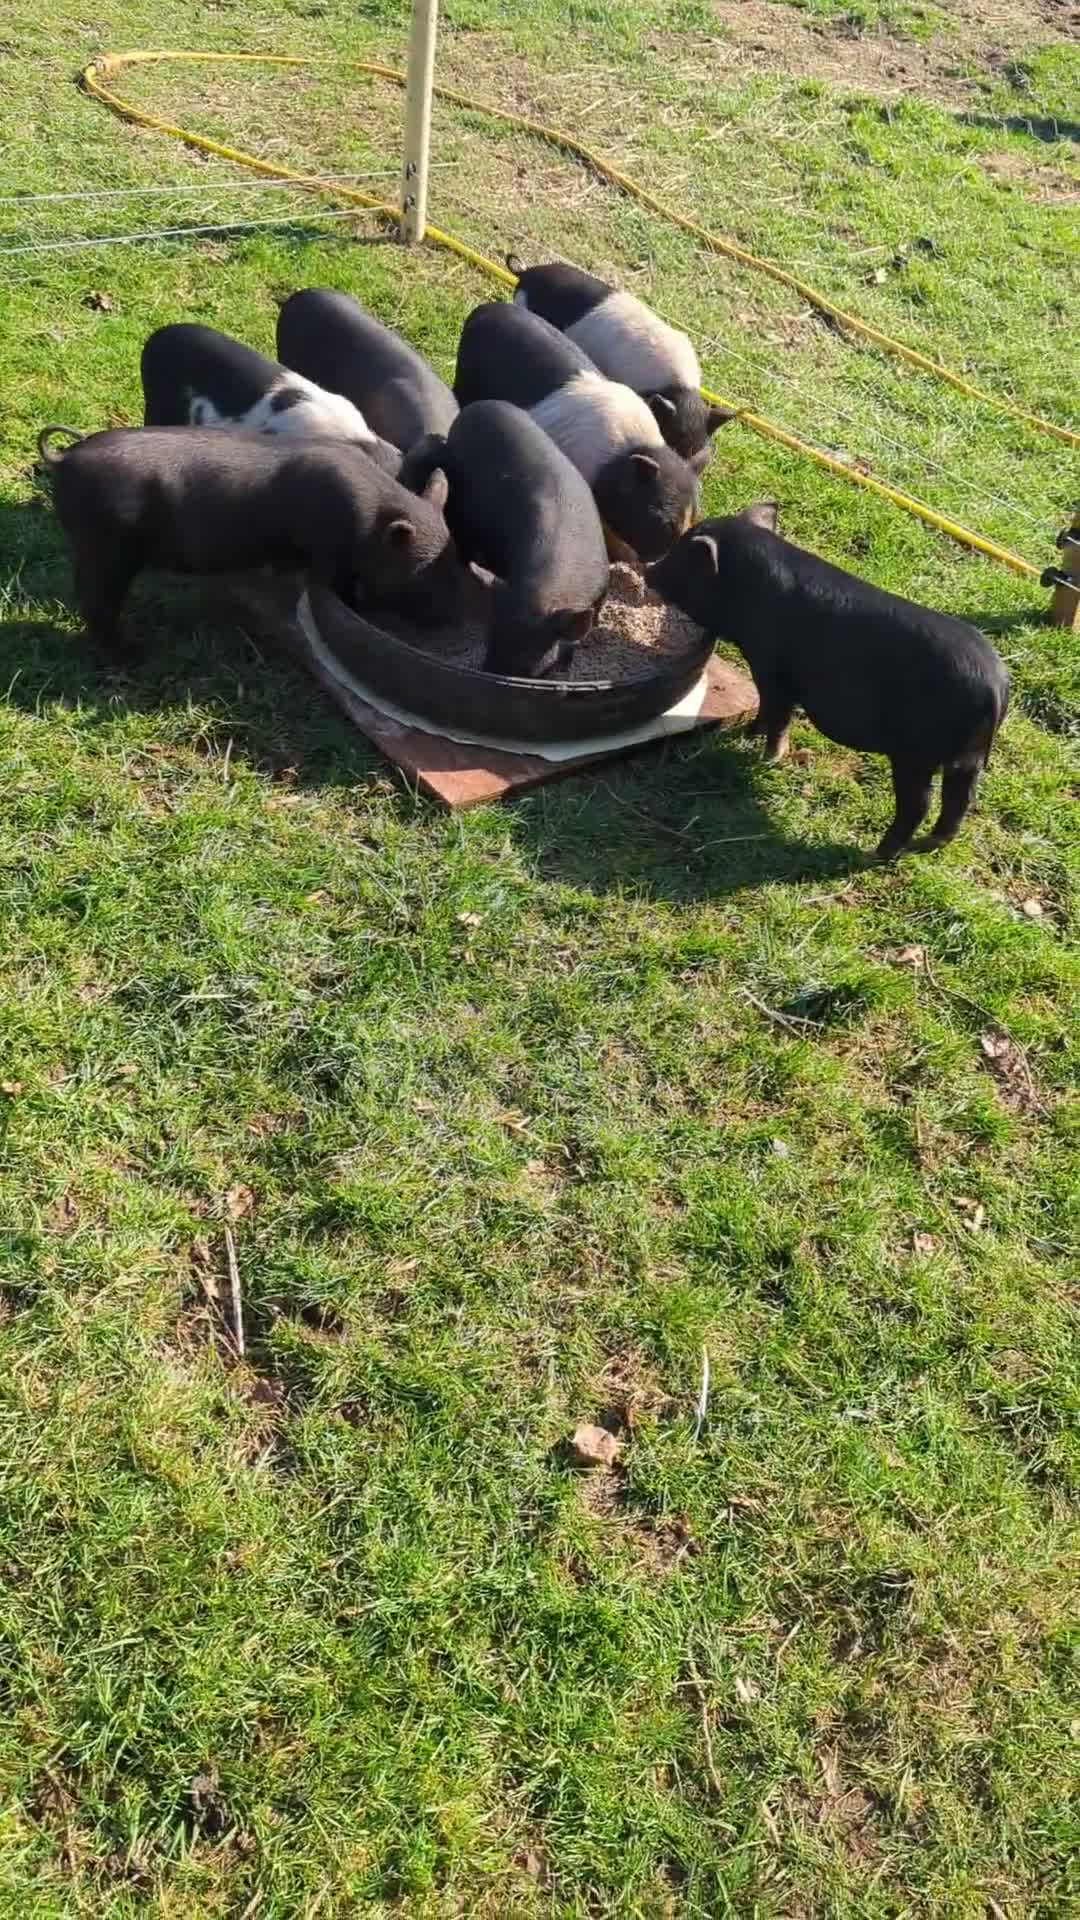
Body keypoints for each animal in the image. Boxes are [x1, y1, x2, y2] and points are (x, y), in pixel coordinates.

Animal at [37, 425, 460, 659]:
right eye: (422, 573)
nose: (447, 619)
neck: (371, 520)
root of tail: (62, 459)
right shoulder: (327, 554)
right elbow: (338, 590)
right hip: (106, 548)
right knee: (95, 602)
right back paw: (134, 655)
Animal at [646, 502, 1009, 858]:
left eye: (679, 558)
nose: (649, 570)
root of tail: (995, 686)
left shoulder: (774, 671)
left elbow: (777, 715)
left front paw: (766, 757)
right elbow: (766, 709)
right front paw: (747, 734)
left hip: (916, 754)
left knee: (919, 805)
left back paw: (877, 854)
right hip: (966, 761)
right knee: (959, 801)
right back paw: (926, 846)